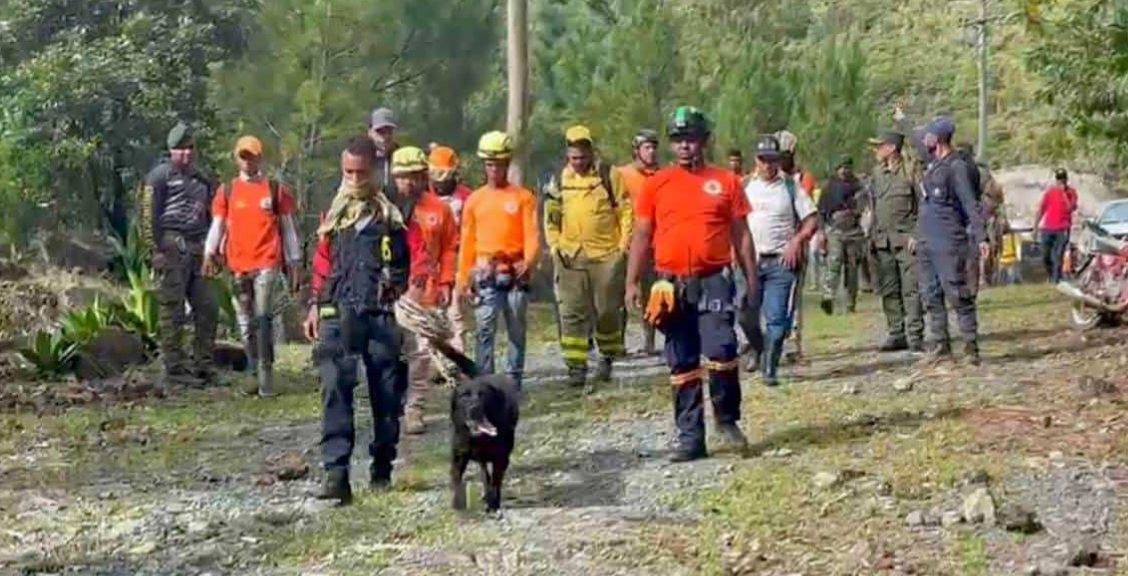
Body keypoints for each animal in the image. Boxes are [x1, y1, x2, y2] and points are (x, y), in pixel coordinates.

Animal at [430, 340, 518, 511]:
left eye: (483, 395)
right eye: (465, 396)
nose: (474, 408)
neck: (478, 439)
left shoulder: (502, 458)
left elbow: (496, 482)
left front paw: (493, 503)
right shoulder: (458, 457)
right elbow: (457, 480)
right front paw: (458, 503)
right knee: (483, 471)